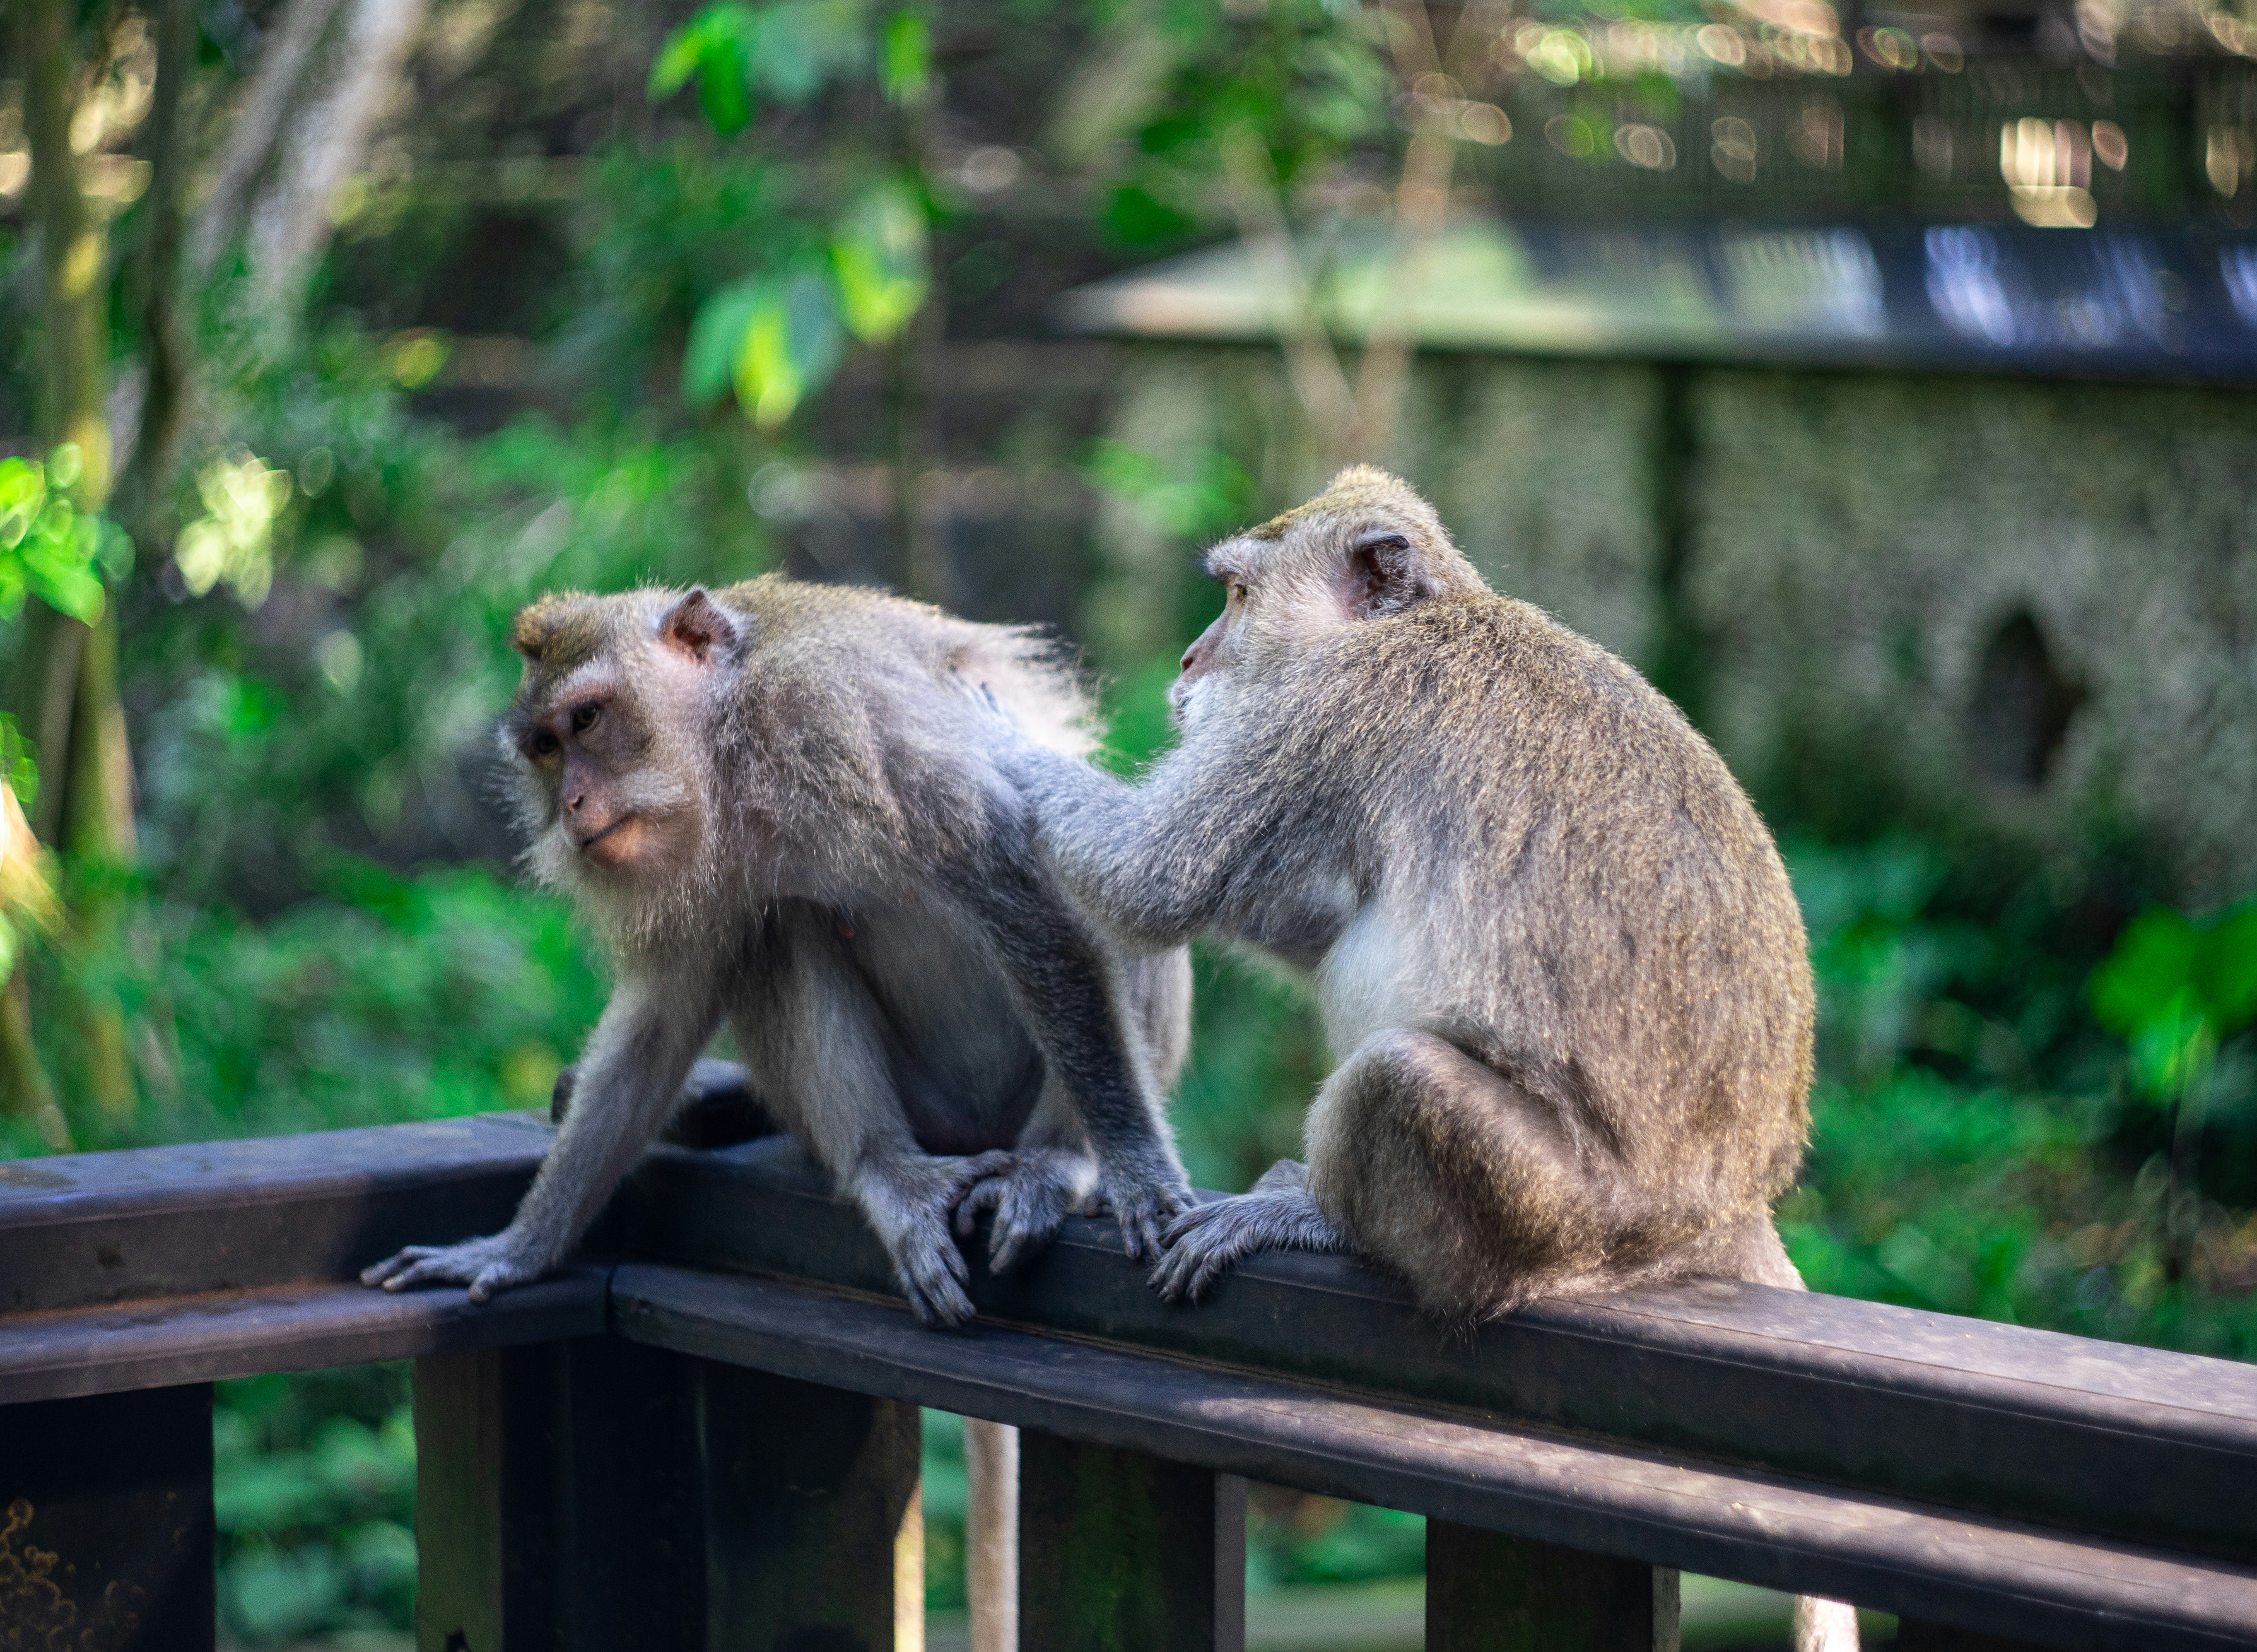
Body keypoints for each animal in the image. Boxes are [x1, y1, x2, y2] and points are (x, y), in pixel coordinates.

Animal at [359, 573, 1191, 1327]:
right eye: (544, 748)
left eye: (587, 719)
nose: (570, 803)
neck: (731, 748)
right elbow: (658, 1027)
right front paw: (517, 1247)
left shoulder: (834, 714)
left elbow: (1026, 900)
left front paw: (1135, 1170)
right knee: (779, 924)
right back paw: (888, 1173)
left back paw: (1057, 1158)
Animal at [984, 465, 1851, 1652]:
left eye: (1236, 597)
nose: (1190, 662)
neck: (1424, 619)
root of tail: (1723, 1210)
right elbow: (1294, 918)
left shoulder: (1325, 714)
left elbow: (1154, 880)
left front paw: (981, 733)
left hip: (1566, 1221)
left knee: (1401, 1078)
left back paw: (1320, 1221)